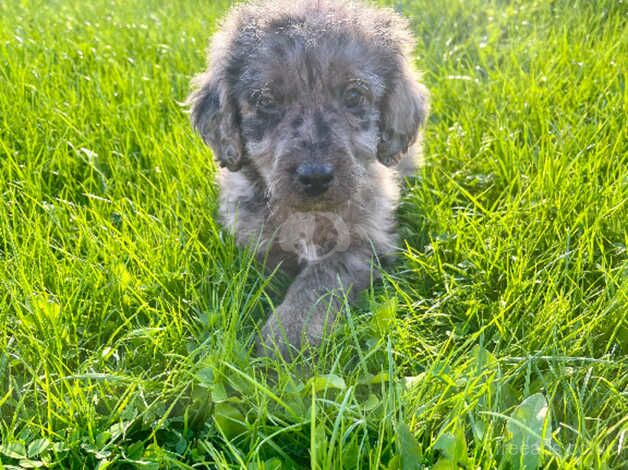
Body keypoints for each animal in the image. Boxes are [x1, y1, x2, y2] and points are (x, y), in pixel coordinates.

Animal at [186, 0, 430, 358]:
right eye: (266, 100)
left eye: (353, 96)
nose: (315, 177)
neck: (310, 216)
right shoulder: (256, 239)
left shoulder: (363, 243)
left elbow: (318, 282)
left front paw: (286, 339)